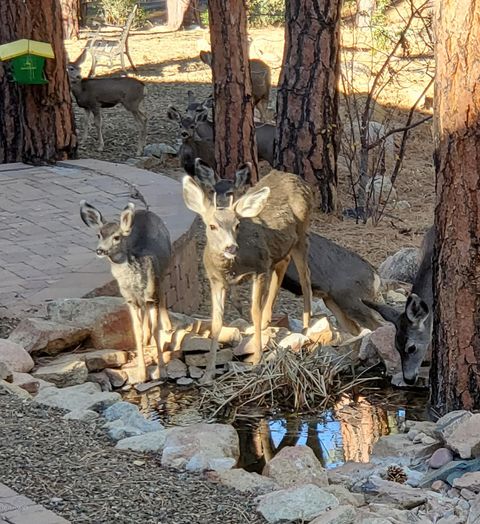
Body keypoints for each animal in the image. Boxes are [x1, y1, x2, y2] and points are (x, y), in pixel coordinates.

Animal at [80, 199, 172, 382]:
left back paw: (168, 326)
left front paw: (162, 372)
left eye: (116, 237)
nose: (100, 250)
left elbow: (156, 331)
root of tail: (146, 211)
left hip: (163, 272)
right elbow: (136, 332)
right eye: (98, 235)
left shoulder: (151, 296)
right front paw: (142, 374)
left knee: (164, 293)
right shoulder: (130, 300)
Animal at [182, 162, 314, 382]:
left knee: (305, 277)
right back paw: (269, 321)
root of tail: (297, 178)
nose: (231, 247)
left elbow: (254, 311)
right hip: (281, 247)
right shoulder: (215, 280)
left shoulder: (259, 268)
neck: (232, 267)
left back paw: (305, 326)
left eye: (237, 225)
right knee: (283, 263)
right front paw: (208, 373)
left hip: (301, 233)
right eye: (212, 226)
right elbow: (216, 322)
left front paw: (257, 359)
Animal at [193, 158, 384, 336]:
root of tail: (375, 276)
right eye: (212, 191)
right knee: (356, 327)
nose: (220, 210)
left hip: (347, 294)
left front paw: (261, 323)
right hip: (334, 301)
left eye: (231, 192)